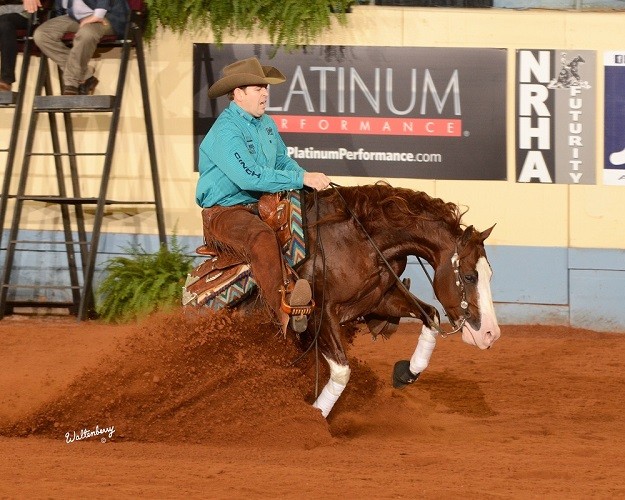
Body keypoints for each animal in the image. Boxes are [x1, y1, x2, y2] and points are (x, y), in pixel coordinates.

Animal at [187, 182, 500, 418]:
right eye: (470, 276)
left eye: (489, 273)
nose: (490, 334)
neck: (359, 240)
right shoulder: (319, 314)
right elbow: (341, 372)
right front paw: (316, 418)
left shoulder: (378, 300)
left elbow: (430, 315)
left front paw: (406, 373)